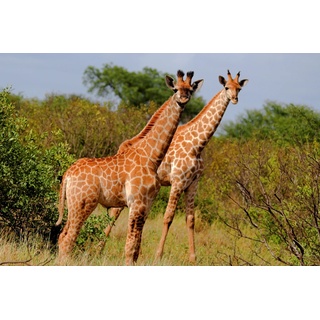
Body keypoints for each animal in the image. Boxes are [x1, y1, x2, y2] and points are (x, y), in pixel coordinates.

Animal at [52, 70, 202, 264]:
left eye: (190, 90)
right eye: (175, 89)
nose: (183, 98)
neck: (151, 157)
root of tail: (68, 174)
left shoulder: (147, 205)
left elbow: (136, 249)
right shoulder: (136, 203)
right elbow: (130, 248)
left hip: (73, 204)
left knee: (62, 236)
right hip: (83, 203)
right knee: (68, 239)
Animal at [104, 69, 249, 262]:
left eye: (239, 88)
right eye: (226, 87)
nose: (234, 99)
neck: (198, 145)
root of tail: (123, 147)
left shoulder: (193, 183)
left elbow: (191, 219)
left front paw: (193, 258)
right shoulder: (178, 182)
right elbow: (168, 217)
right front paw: (158, 255)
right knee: (115, 212)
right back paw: (99, 248)